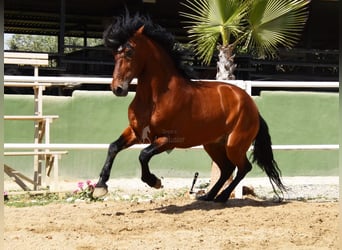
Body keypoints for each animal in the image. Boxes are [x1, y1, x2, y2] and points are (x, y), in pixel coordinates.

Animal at [93, 13, 286, 202]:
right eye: (114, 53)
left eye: (129, 52)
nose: (118, 88)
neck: (156, 98)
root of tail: (252, 106)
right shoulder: (137, 132)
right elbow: (113, 147)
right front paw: (100, 187)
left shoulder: (168, 139)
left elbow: (143, 155)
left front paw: (154, 181)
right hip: (213, 145)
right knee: (227, 168)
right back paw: (209, 196)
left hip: (234, 145)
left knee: (244, 167)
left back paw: (222, 196)